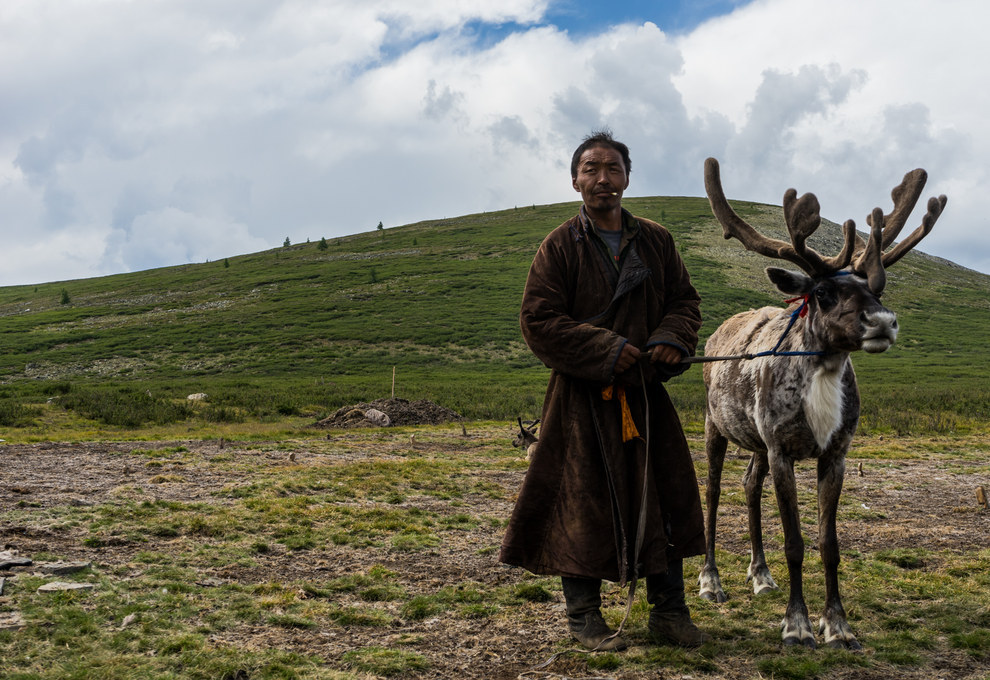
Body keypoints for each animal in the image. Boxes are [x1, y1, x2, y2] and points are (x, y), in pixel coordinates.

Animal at [697, 157, 946, 649]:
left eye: (878, 290)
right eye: (824, 293)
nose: (883, 321)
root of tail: (719, 331)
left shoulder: (834, 453)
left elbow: (829, 545)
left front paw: (839, 626)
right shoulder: (783, 450)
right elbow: (794, 542)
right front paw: (797, 625)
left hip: (757, 442)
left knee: (749, 486)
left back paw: (761, 575)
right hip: (717, 425)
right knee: (713, 492)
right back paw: (711, 581)